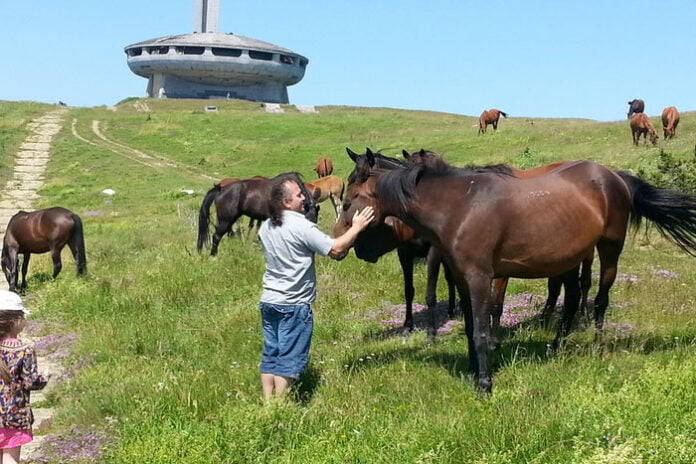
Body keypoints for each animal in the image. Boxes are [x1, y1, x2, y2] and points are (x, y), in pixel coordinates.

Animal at [338, 155, 696, 392]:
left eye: (349, 201)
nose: (347, 248)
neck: (460, 206)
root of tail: (615, 177)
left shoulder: (481, 278)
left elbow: (483, 330)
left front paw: (484, 383)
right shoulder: (463, 280)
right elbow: (470, 328)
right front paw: (473, 371)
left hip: (609, 251)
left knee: (599, 300)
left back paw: (595, 345)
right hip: (569, 259)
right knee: (571, 300)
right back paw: (556, 346)